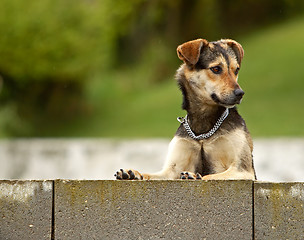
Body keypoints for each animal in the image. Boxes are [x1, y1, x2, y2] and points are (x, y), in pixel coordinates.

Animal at [114, 38, 256, 180]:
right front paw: (133, 173)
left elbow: (209, 176)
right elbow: (150, 175)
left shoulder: (242, 170)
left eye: (236, 70)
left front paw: (195, 176)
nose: (240, 93)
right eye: (216, 69)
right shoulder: (171, 170)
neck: (202, 130)